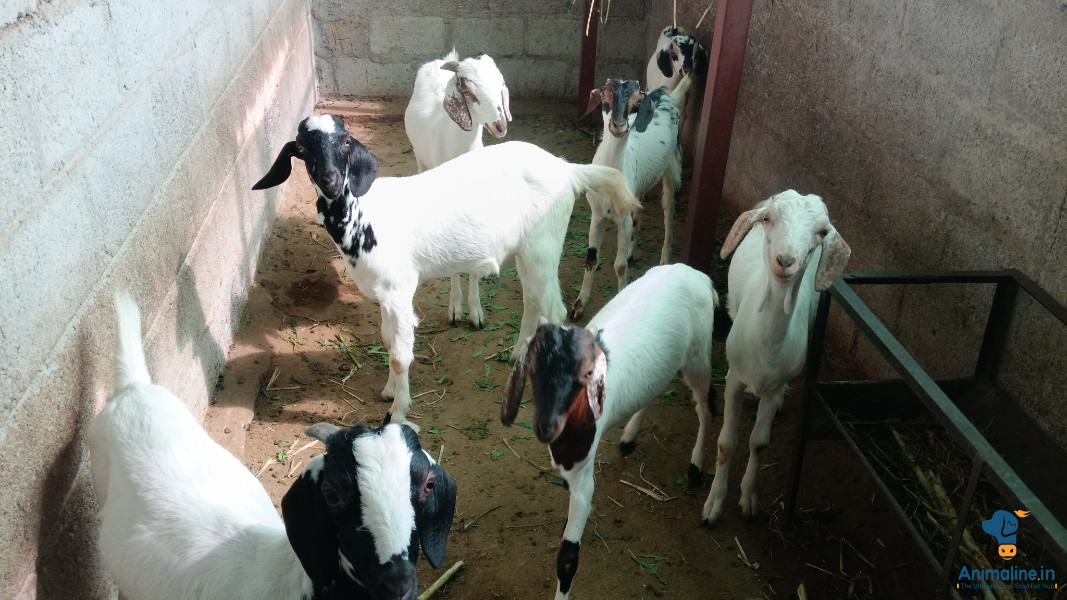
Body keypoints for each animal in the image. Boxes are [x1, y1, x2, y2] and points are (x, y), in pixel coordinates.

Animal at [252, 116, 639, 428]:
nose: (331, 180)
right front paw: (389, 391)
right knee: (532, 301)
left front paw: (398, 410)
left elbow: (400, 355)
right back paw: (518, 356)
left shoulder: (399, 290)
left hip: (544, 246)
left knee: (554, 310)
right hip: (527, 251)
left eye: (346, 142)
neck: (366, 215)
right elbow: (387, 339)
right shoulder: (385, 294)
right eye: (303, 148)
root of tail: (569, 170)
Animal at [404, 50, 512, 329]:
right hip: (420, 160)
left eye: (500, 84)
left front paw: (476, 313)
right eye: (468, 92)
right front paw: (455, 310)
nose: (500, 126)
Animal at [501, 263, 720, 600]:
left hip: (698, 357)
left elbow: (567, 558)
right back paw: (630, 436)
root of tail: (696, 274)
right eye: (534, 372)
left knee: (705, 406)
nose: (546, 427)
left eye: (581, 376)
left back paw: (696, 466)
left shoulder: (583, 477)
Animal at [570, 76, 691, 320]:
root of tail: (667, 96)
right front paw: (578, 305)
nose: (619, 125)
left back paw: (663, 260)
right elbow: (591, 259)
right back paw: (633, 251)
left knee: (669, 213)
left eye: (636, 103)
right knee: (641, 208)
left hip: (673, 165)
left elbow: (619, 266)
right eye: (604, 98)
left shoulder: (623, 220)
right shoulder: (597, 216)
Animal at [702, 190, 851, 525]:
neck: (767, 343)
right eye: (768, 219)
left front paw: (748, 499)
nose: (785, 260)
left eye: (822, 232)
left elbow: (759, 444)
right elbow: (726, 443)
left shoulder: (773, 386)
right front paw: (714, 503)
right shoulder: (735, 379)